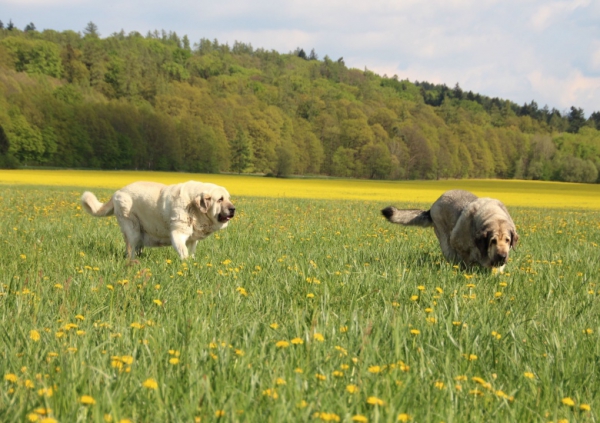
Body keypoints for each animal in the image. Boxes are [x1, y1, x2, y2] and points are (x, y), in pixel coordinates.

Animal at [81, 181, 236, 260]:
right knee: (130, 247)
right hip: (132, 228)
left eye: (228, 198)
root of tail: (117, 192)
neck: (194, 207)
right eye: (220, 199)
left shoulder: (193, 239)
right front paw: (186, 265)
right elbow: (184, 252)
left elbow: (191, 252)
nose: (233, 209)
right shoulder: (178, 234)